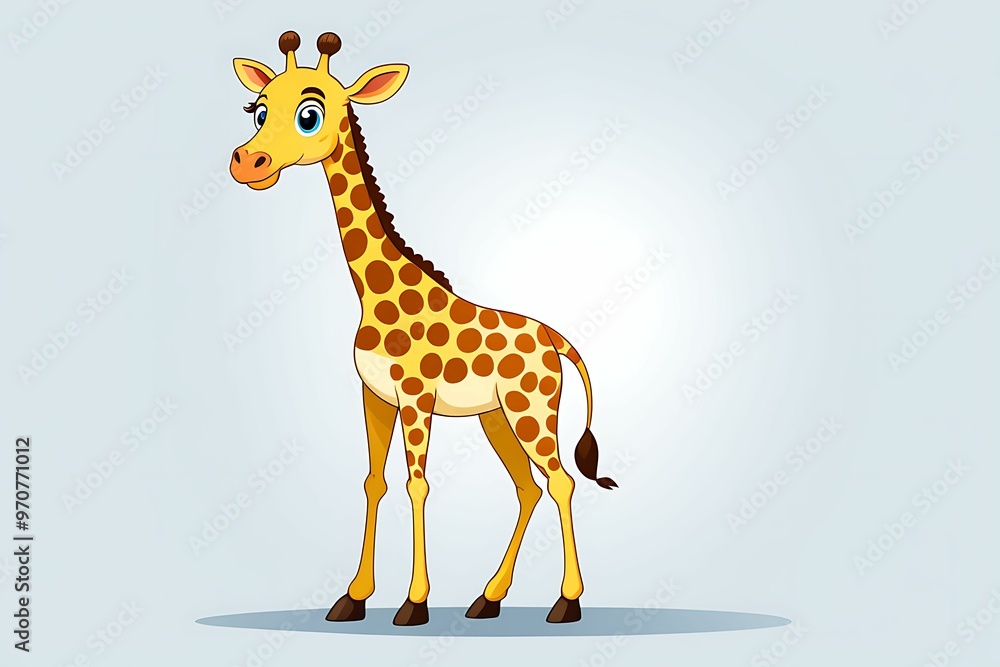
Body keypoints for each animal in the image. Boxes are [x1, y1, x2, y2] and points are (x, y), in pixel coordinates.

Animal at [229, 31, 617, 626]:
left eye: (310, 114)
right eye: (258, 109)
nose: (249, 163)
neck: (372, 294)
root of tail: (556, 341)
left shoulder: (416, 398)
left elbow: (417, 486)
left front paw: (414, 603)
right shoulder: (375, 396)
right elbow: (374, 481)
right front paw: (353, 597)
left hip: (531, 410)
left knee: (560, 481)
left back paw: (566, 602)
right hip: (496, 417)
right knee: (528, 488)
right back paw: (488, 598)